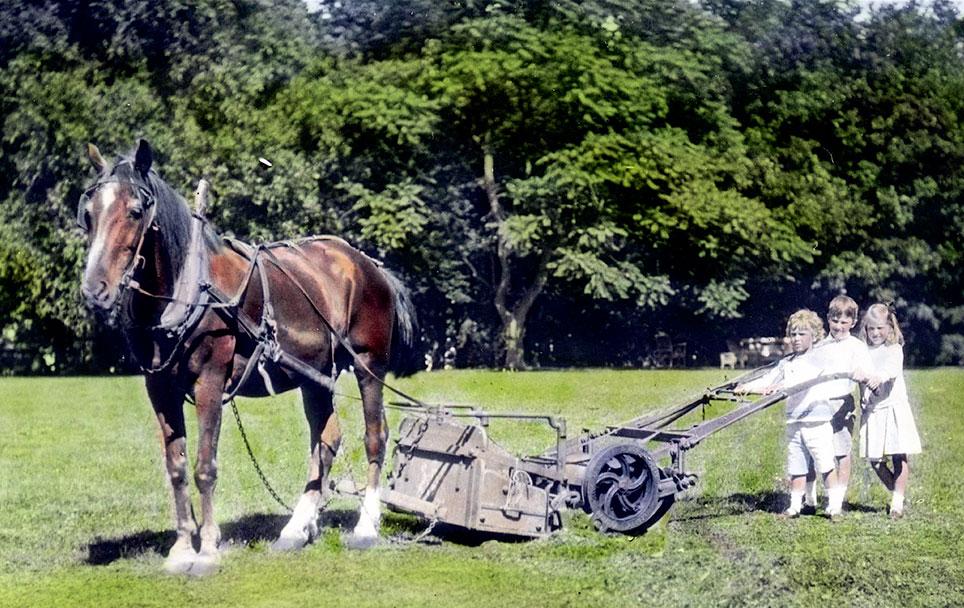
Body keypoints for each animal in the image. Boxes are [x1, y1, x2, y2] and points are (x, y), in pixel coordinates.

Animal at [78, 139, 418, 576]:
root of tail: (368, 264)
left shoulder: (210, 379)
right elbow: (177, 467)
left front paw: (207, 550)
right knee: (326, 440)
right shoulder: (159, 387)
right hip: (315, 375)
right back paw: (296, 528)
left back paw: (366, 526)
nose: (94, 289)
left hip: (369, 364)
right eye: (89, 213)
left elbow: (205, 466)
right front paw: (182, 548)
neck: (189, 288)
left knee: (375, 436)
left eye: (135, 211)